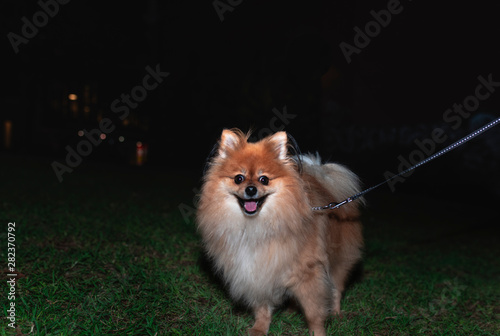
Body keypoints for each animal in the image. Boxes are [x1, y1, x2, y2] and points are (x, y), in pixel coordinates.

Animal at [197, 129, 366, 336]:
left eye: (264, 179)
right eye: (239, 178)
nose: (251, 189)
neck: (255, 226)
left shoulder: (309, 273)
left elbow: (314, 312)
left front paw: (317, 331)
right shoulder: (260, 272)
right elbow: (262, 306)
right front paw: (260, 328)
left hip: (338, 259)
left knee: (336, 288)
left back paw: (335, 312)